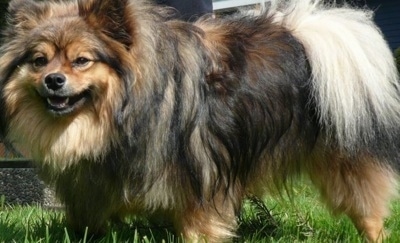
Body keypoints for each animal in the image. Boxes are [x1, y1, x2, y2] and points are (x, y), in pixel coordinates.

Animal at [0, 0, 400, 242]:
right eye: (39, 61)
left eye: (81, 60)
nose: (53, 80)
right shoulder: (93, 187)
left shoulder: (198, 186)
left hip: (345, 162)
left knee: (368, 210)